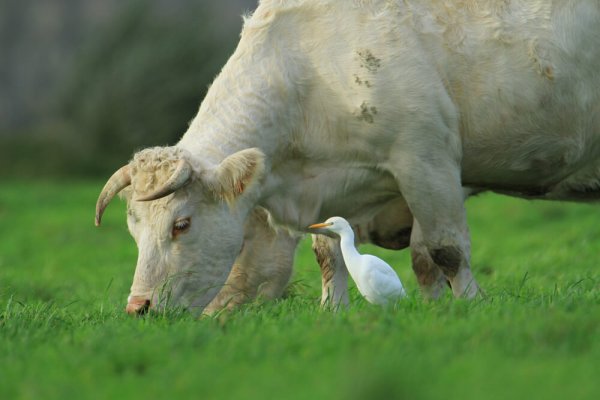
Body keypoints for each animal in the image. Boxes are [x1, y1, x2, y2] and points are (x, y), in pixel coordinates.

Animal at [95, 1, 600, 316]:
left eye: (181, 224)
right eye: (133, 230)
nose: (138, 308)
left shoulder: (427, 159)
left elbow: (445, 250)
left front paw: (468, 306)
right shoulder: (333, 189)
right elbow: (331, 253)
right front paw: (334, 311)